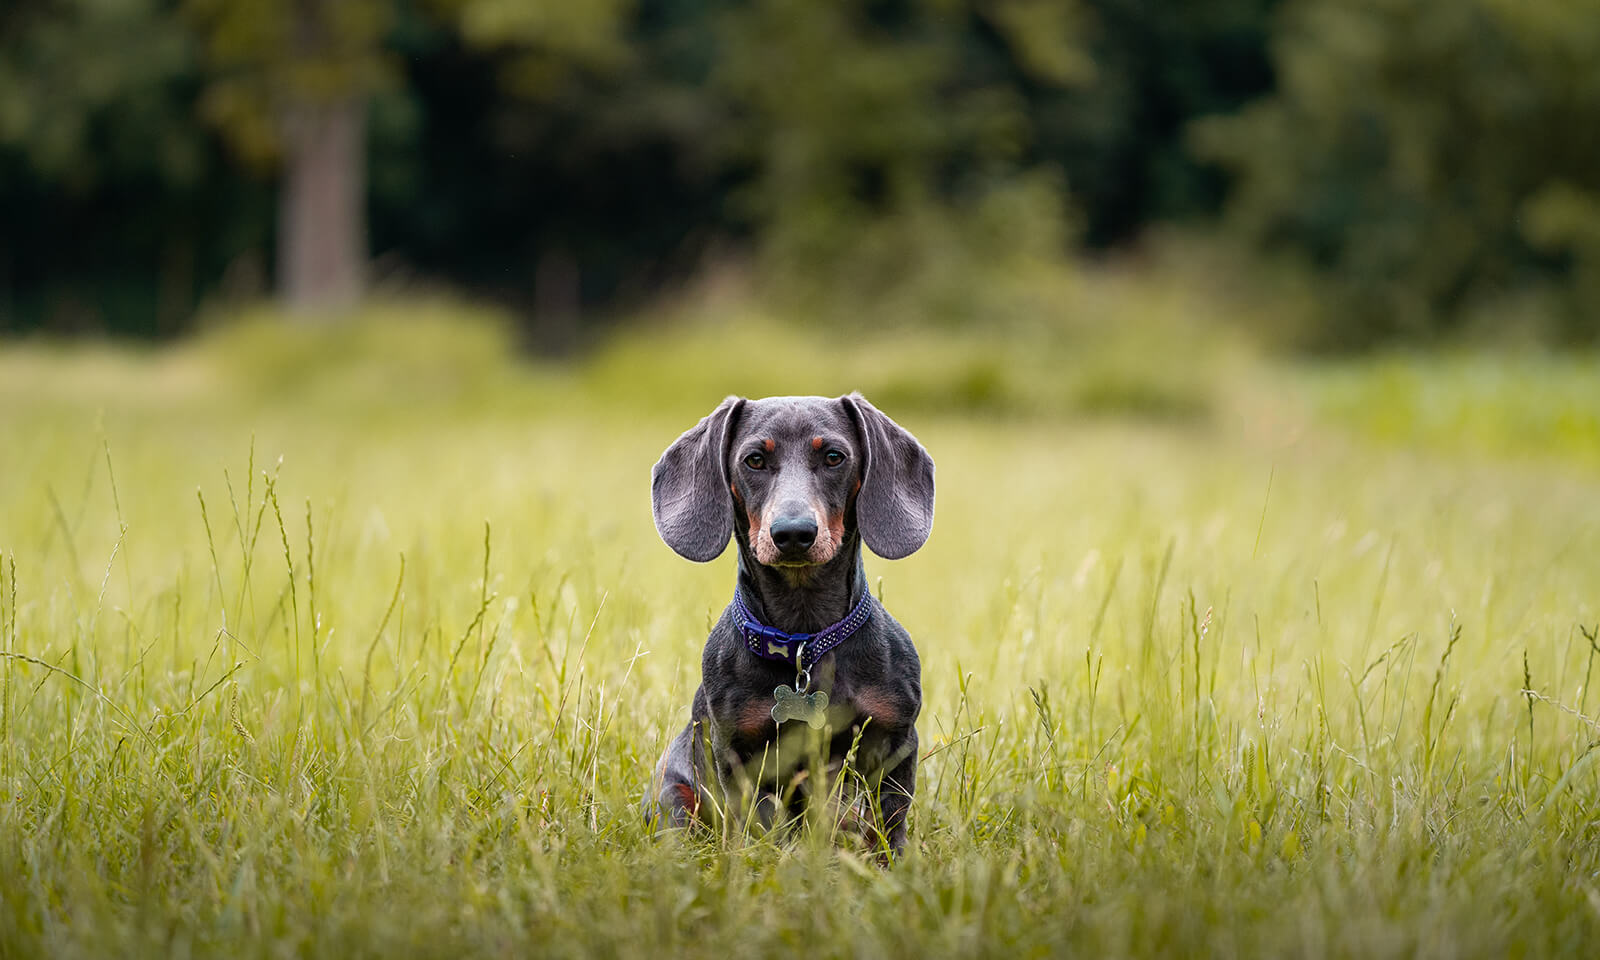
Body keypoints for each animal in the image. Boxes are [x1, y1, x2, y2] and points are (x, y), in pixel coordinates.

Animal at [640, 392, 934, 857]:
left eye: (834, 457)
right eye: (754, 460)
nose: (793, 532)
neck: (805, 641)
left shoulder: (896, 741)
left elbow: (888, 825)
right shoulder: (739, 755)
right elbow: (760, 828)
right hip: (675, 795)